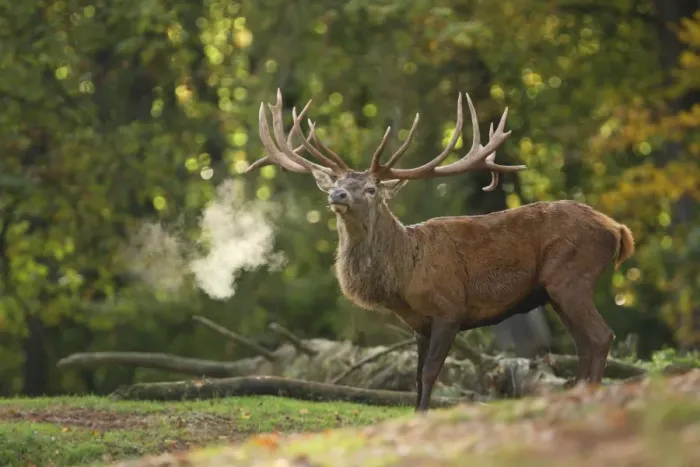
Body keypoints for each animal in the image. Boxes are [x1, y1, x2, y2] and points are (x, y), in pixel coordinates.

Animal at [247, 89, 635, 411]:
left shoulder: (450, 309)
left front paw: (422, 414)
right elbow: (417, 375)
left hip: (572, 277)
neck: (404, 274)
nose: (337, 195)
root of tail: (617, 230)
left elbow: (432, 372)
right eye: (339, 182)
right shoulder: (419, 324)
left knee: (600, 336)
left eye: (371, 188)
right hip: (555, 292)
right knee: (584, 344)